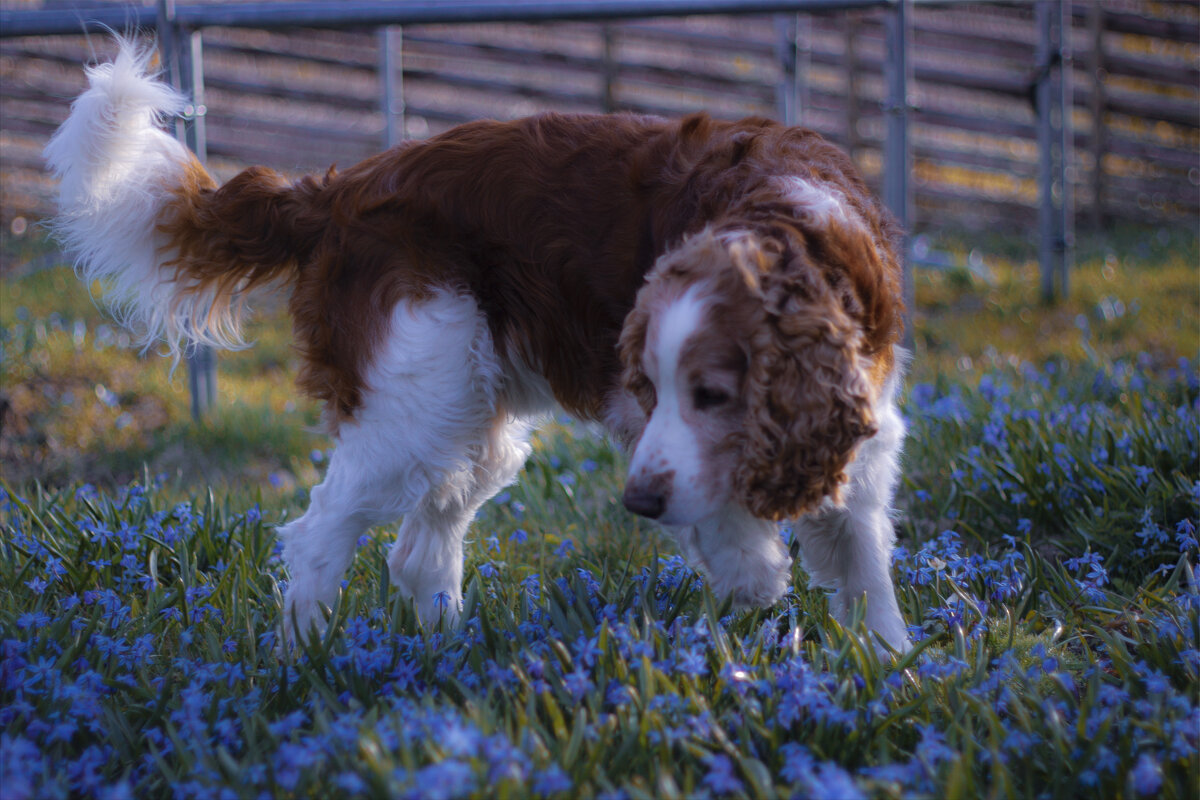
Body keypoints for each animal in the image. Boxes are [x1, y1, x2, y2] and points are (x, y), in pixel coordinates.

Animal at [46, 42, 907, 652]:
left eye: (715, 395)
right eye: (656, 388)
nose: (636, 504)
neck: (788, 220)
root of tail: (338, 188)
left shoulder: (857, 431)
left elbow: (864, 564)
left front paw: (886, 668)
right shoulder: (646, 423)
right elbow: (722, 513)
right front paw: (752, 572)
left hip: (470, 411)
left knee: (420, 550)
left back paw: (441, 657)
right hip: (416, 402)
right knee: (318, 533)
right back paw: (304, 664)